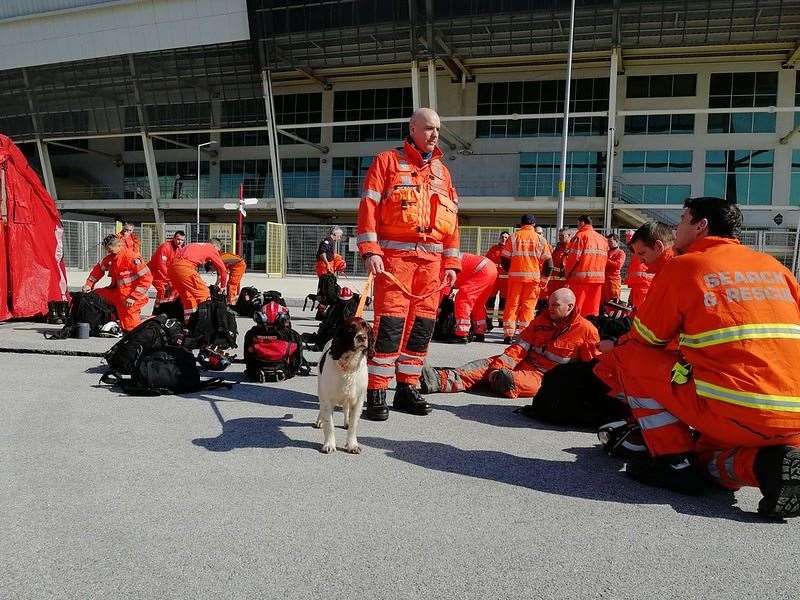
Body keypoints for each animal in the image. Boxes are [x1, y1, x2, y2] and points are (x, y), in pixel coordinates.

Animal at [314, 316, 374, 452]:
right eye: (351, 328)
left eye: (366, 327)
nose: (362, 337)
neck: (349, 364)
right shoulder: (327, 398)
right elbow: (329, 424)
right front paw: (329, 444)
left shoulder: (358, 399)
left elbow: (353, 424)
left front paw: (352, 445)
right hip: (321, 388)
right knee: (322, 409)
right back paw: (319, 420)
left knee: (346, 409)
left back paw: (346, 421)